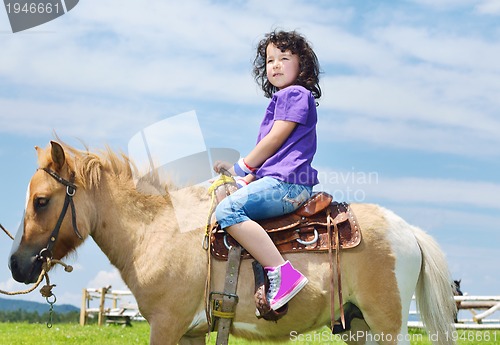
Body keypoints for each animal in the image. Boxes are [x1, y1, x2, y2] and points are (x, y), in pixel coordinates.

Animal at [8, 140, 458, 344]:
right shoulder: (191, 332)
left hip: (387, 327)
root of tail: (408, 232)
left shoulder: (167, 326)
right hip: (358, 327)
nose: (16, 265)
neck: (156, 230)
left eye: (41, 201)